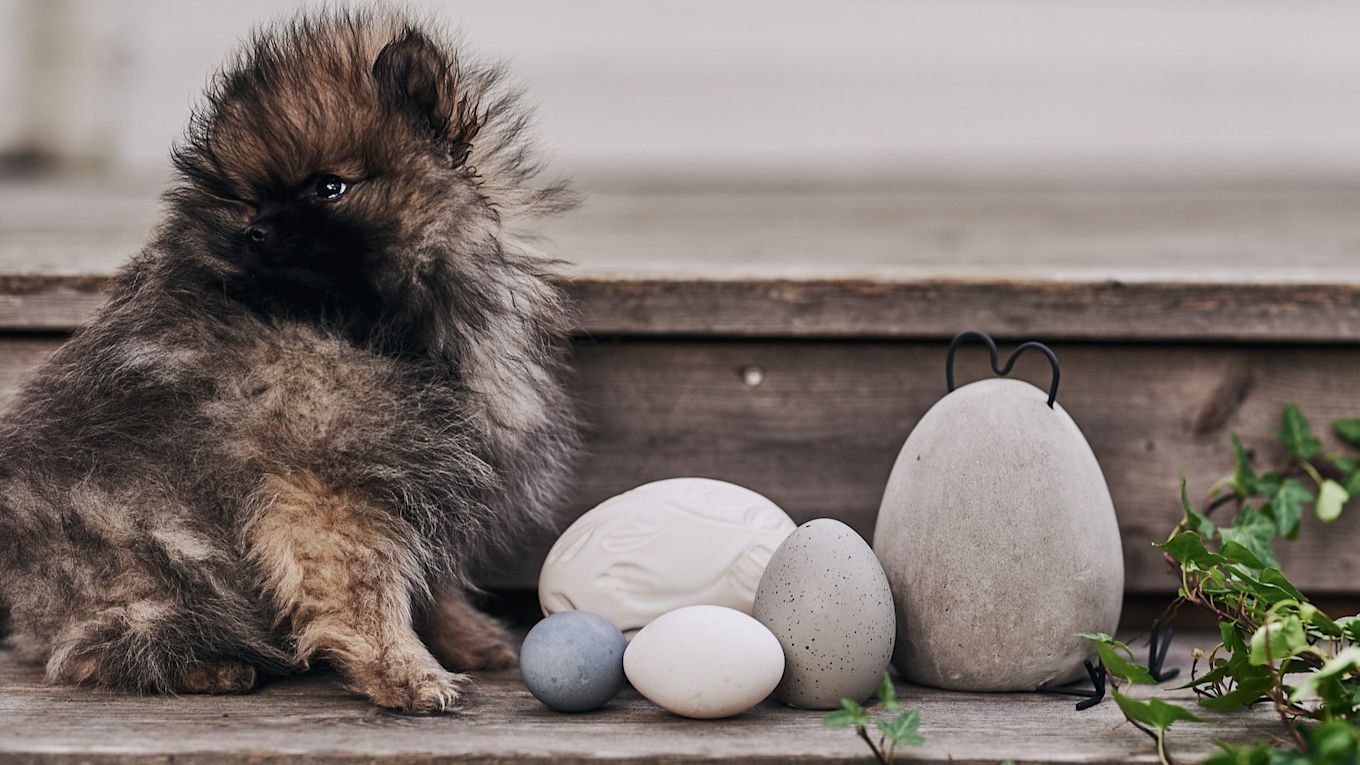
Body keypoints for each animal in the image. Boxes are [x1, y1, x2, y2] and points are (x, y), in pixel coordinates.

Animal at [0, 8, 579, 707]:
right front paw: (407, 674)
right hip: (149, 555)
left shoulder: (416, 478)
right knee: (92, 647)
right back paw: (209, 666)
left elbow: (430, 584)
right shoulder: (329, 489)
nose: (255, 233)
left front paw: (463, 640)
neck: (377, 328)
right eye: (252, 200)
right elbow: (366, 592)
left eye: (329, 187)